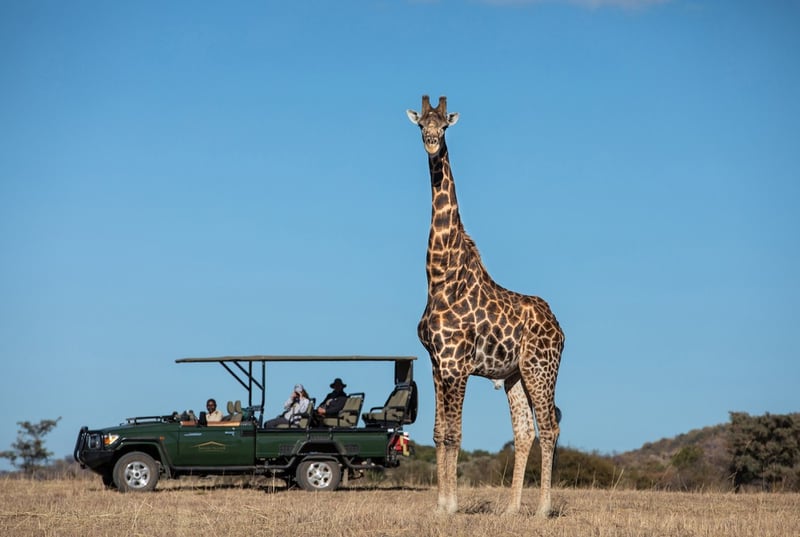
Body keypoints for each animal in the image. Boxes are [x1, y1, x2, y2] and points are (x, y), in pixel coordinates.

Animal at [407, 95, 564, 517]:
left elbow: (454, 434)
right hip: (514, 375)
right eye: (421, 124)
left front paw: (451, 506)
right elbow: (438, 432)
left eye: (444, 125)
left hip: (541, 370)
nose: (431, 143)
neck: (439, 277)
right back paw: (511, 509)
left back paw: (543, 509)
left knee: (550, 425)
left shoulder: (456, 364)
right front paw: (439, 506)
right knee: (525, 431)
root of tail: (560, 328)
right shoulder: (436, 364)